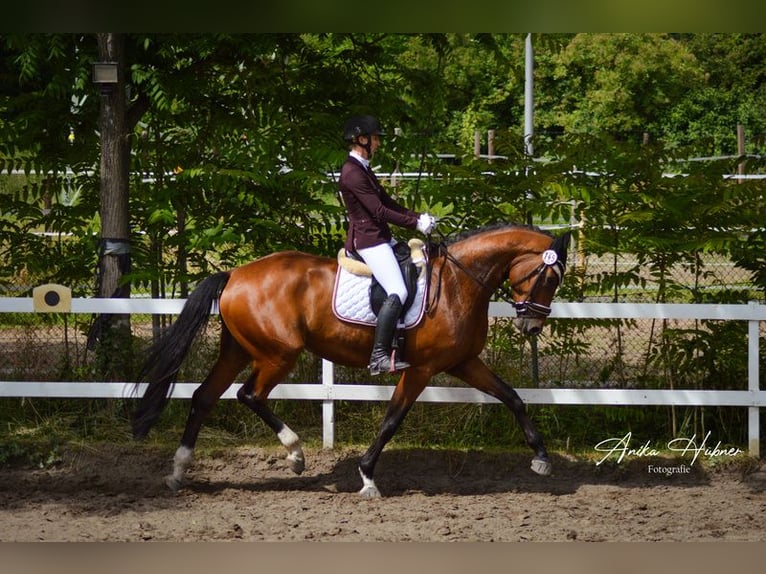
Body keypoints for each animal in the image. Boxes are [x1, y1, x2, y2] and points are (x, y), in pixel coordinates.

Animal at [132, 223, 568, 498]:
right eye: (549, 278)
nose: (531, 325)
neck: (458, 282)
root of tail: (235, 274)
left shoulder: (463, 362)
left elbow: (512, 397)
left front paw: (542, 459)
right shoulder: (421, 370)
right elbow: (392, 420)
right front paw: (367, 477)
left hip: (237, 349)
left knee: (204, 397)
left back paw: (178, 472)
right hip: (278, 354)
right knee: (249, 395)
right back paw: (295, 454)